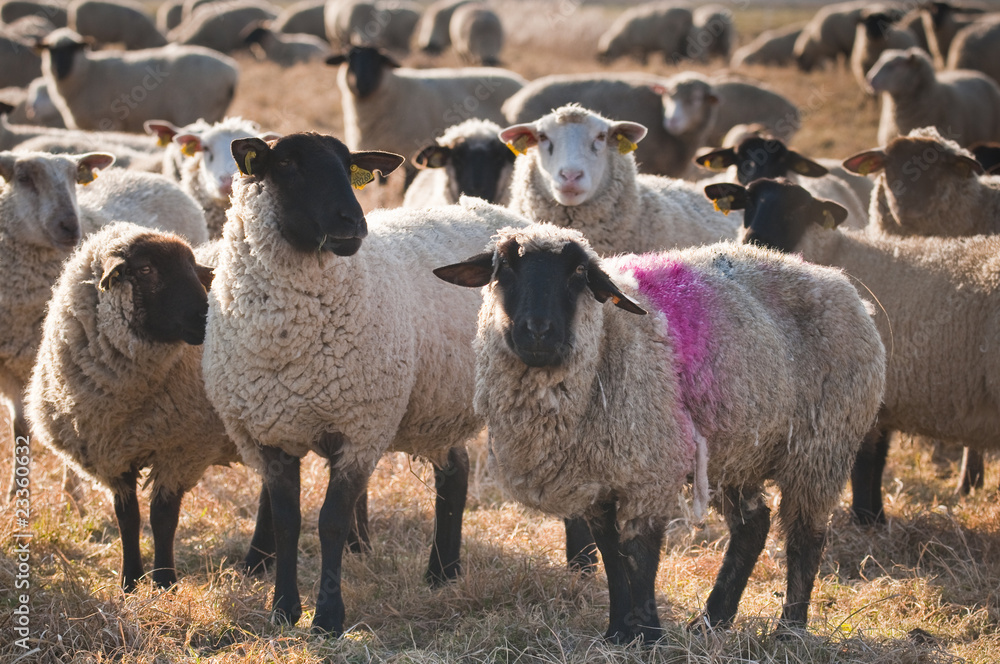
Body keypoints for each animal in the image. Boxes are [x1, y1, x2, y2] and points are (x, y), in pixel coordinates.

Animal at [23, 222, 243, 591]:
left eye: (193, 268)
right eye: (145, 270)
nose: (206, 319)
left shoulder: (181, 451)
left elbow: (163, 519)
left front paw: (165, 581)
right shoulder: (109, 456)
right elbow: (127, 518)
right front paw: (130, 581)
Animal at [37, 28, 239, 132]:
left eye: (73, 49)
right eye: (51, 50)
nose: (59, 70)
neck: (88, 72)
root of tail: (231, 71)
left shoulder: (109, 122)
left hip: (193, 110)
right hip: (215, 112)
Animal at [200, 131, 538, 633]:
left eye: (348, 167)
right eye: (288, 164)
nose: (353, 223)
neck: (287, 337)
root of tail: (497, 214)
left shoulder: (360, 428)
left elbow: (330, 522)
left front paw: (327, 618)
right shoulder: (269, 433)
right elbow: (286, 522)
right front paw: (282, 610)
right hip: (437, 403)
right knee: (455, 473)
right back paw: (443, 572)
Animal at [433, 223, 885, 641]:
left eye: (578, 272)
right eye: (504, 268)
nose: (538, 331)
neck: (606, 343)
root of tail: (841, 283)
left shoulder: (649, 470)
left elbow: (641, 555)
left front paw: (648, 635)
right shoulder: (597, 482)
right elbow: (611, 555)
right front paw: (618, 632)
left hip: (821, 447)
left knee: (806, 535)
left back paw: (789, 630)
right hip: (735, 451)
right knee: (753, 525)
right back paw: (712, 620)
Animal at [706, 177, 1000, 524]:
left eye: (798, 210)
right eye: (749, 201)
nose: (754, 239)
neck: (833, 250)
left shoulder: (865, 395)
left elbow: (866, 463)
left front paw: (865, 516)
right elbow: (875, 463)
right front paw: (874, 517)